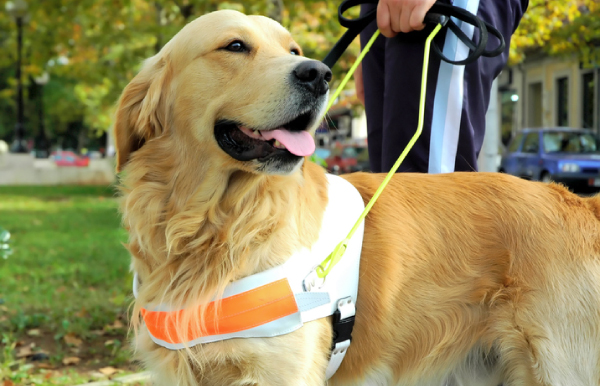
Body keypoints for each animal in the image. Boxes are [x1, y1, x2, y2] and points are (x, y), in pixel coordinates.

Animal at [115, 9, 600, 386]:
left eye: (294, 50)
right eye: (234, 46)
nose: (318, 73)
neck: (216, 223)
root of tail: (578, 201)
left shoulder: (280, 372)